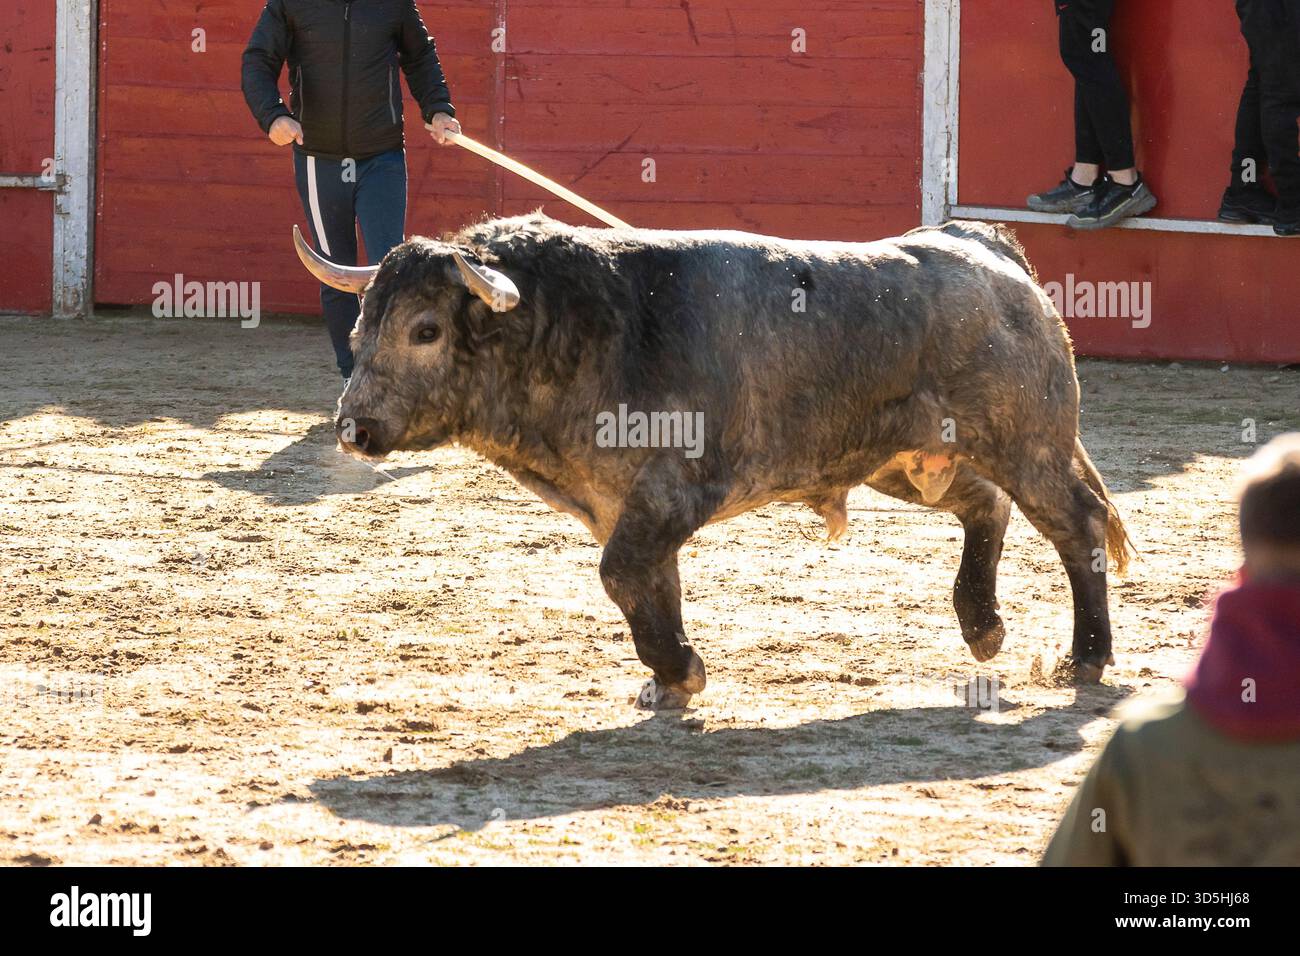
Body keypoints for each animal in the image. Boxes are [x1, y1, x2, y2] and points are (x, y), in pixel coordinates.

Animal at [291, 212, 1133, 710]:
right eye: (363, 326)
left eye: (426, 329)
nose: (352, 426)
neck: (584, 325)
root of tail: (986, 247)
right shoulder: (625, 506)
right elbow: (647, 582)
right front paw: (667, 680)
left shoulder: (669, 493)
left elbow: (621, 574)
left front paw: (680, 669)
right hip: (903, 460)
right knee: (987, 504)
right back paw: (983, 626)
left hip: (1029, 445)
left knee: (1079, 526)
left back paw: (1086, 658)